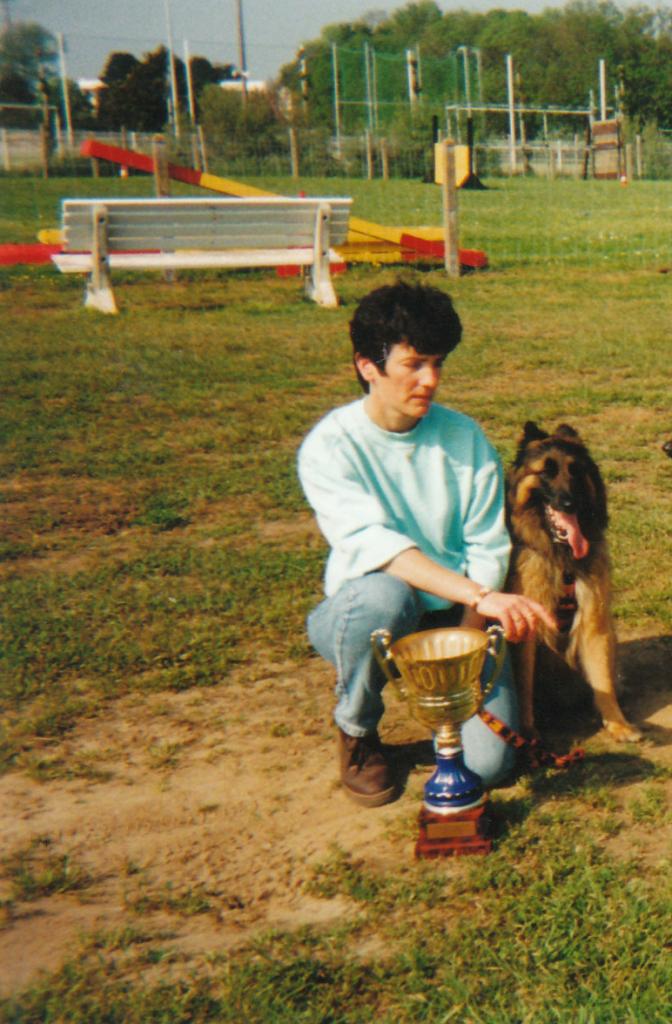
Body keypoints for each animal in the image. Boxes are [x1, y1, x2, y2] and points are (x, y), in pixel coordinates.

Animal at [506, 421, 643, 745]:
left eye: (576, 471)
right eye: (546, 471)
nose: (569, 502)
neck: (563, 558)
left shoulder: (594, 620)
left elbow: (603, 678)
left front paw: (618, 724)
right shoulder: (526, 627)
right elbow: (523, 684)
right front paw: (528, 733)